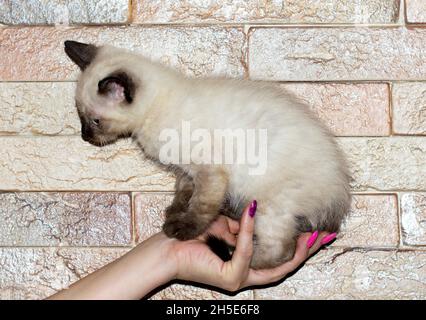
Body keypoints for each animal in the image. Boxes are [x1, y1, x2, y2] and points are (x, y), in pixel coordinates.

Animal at [63, 40, 350, 270]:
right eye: (80, 116)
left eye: (95, 121)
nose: (84, 136)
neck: (154, 112)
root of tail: (340, 194)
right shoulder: (186, 171)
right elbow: (183, 194)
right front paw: (174, 213)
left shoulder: (209, 171)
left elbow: (200, 205)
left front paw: (180, 229)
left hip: (272, 207)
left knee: (282, 252)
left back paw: (245, 260)